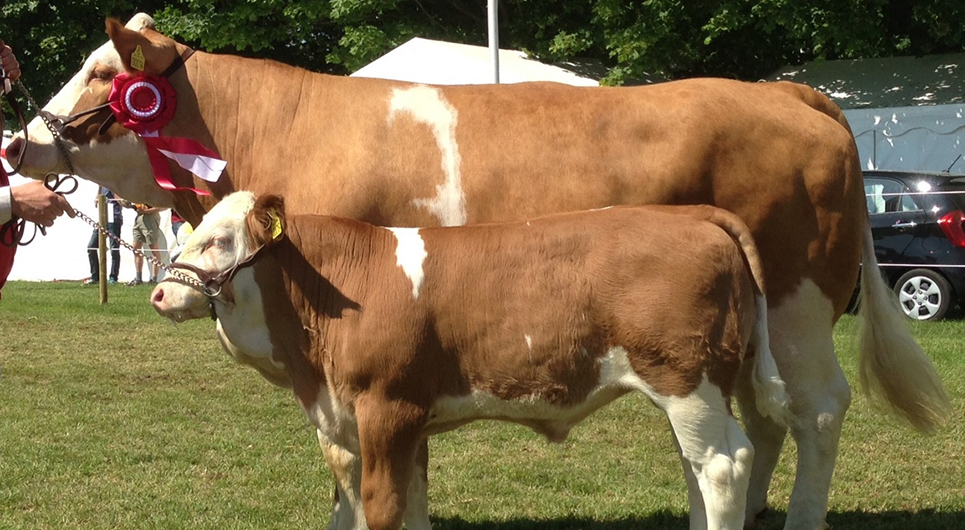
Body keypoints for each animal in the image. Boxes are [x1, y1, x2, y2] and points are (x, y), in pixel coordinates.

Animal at [153, 193, 792, 528]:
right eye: (192, 229)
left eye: (217, 240)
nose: (159, 292)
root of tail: (692, 213)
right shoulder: (381, 420)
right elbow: (396, 503)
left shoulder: (386, 407)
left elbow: (383, 506)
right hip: (692, 387)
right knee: (697, 466)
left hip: (688, 379)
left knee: (723, 464)